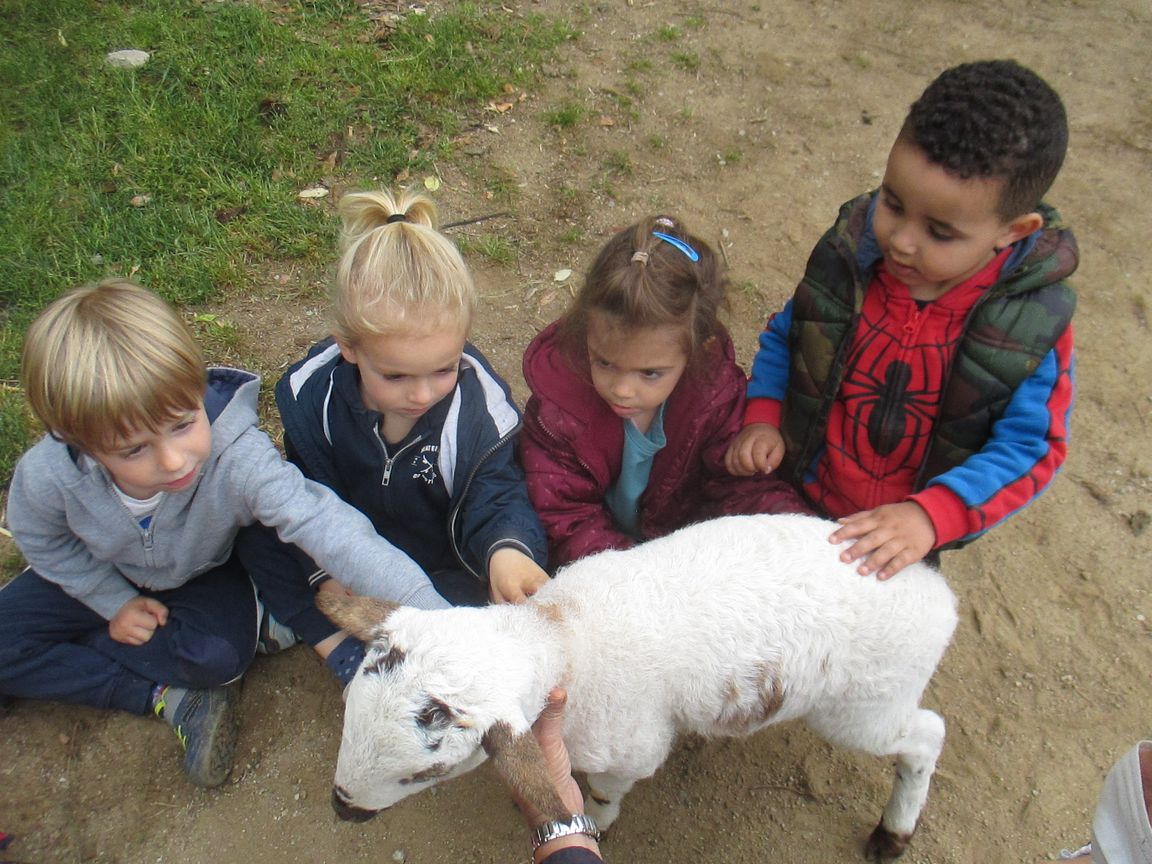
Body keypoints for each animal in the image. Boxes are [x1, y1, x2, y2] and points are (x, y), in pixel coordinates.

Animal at [317, 512, 959, 861]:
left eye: (425, 773)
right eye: (348, 711)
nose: (342, 809)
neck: (561, 636)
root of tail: (937, 594)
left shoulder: (629, 748)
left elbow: (605, 790)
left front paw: (599, 822)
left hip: (865, 704)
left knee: (927, 735)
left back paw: (895, 831)